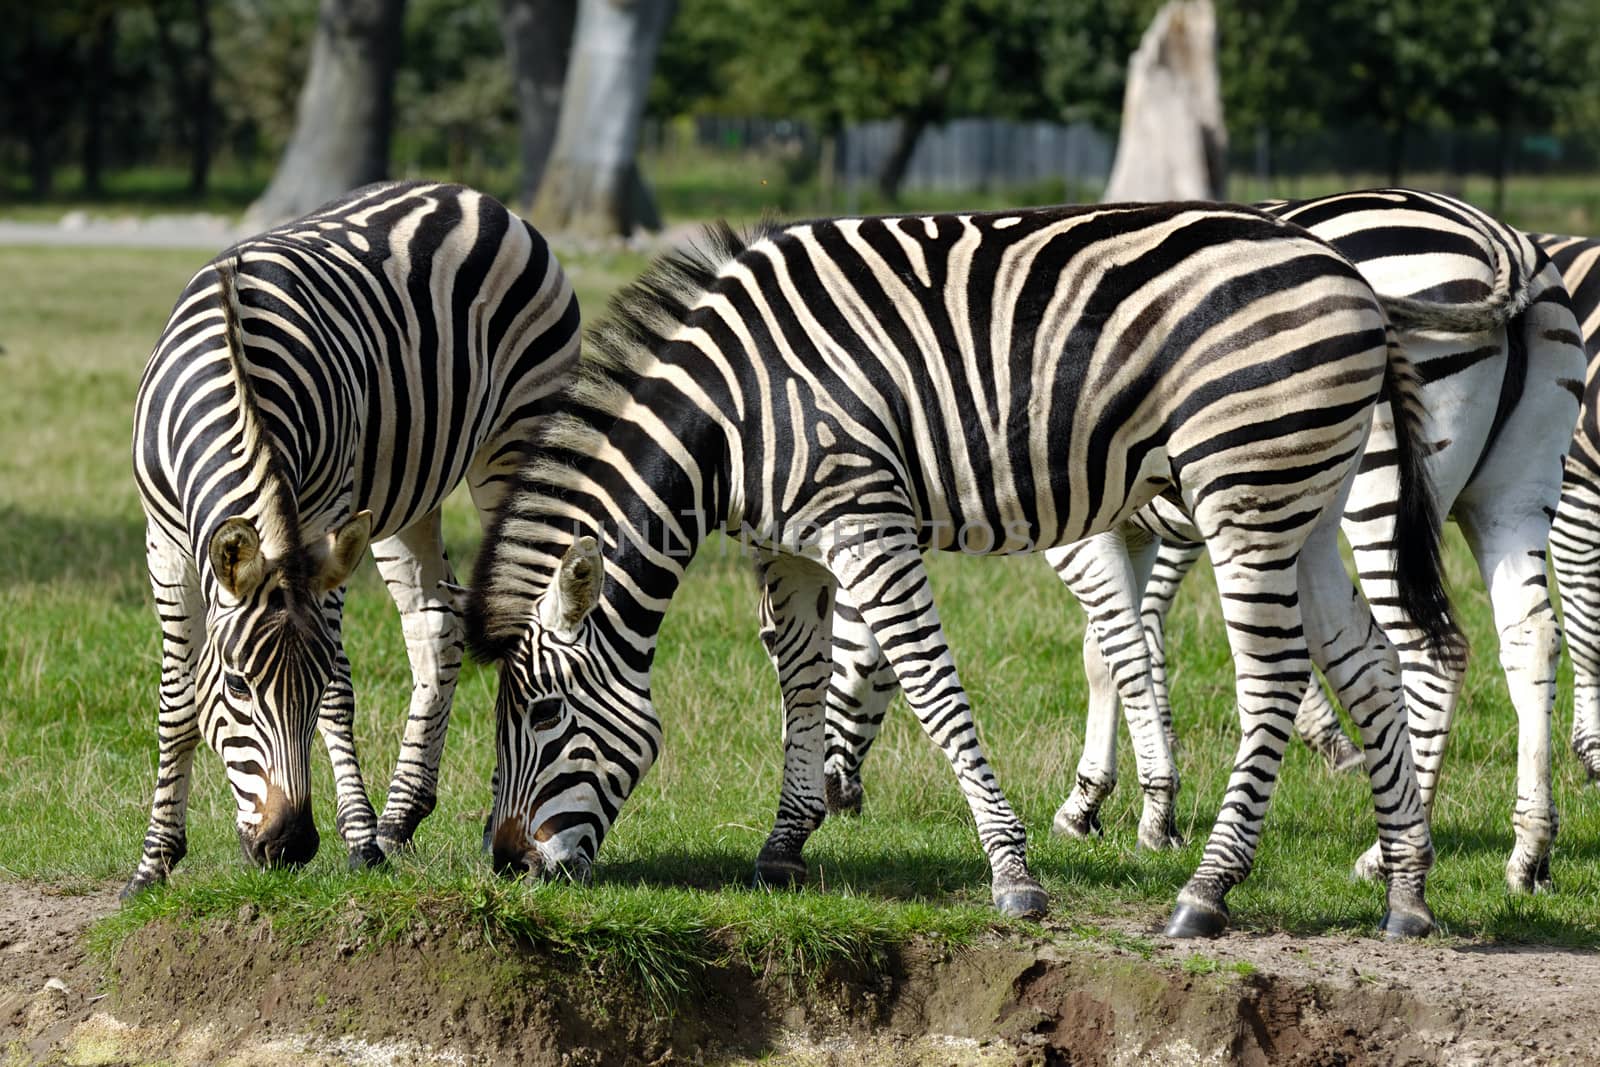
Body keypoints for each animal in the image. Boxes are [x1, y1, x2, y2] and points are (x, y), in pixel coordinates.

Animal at [121, 179, 582, 895]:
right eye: (237, 688)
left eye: (305, 690)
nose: (288, 846)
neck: (236, 375)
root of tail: (470, 194)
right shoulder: (164, 544)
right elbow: (175, 700)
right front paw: (154, 862)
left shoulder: (323, 522)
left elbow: (341, 685)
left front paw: (360, 842)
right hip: (402, 501)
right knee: (437, 625)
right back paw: (402, 817)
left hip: (517, 443)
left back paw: (473, 824)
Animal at [467, 199, 1465, 934]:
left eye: (542, 714)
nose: (505, 863)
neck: (731, 415)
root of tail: (1356, 284)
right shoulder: (787, 547)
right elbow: (802, 680)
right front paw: (785, 845)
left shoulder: (864, 519)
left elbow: (932, 685)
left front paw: (1012, 872)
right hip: (1306, 503)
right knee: (1370, 661)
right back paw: (1406, 890)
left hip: (1244, 490)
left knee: (1275, 677)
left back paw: (1207, 891)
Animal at [825, 187, 1587, 895]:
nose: (840, 801)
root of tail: (1497, 237)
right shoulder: (1132, 528)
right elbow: (1109, 652)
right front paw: (1090, 801)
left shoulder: (1079, 537)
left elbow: (1125, 651)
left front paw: (1152, 813)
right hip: (1512, 497)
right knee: (1531, 636)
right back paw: (1529, 854)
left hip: (1385, 489)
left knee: (1429, 653)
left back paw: (1388, 852)